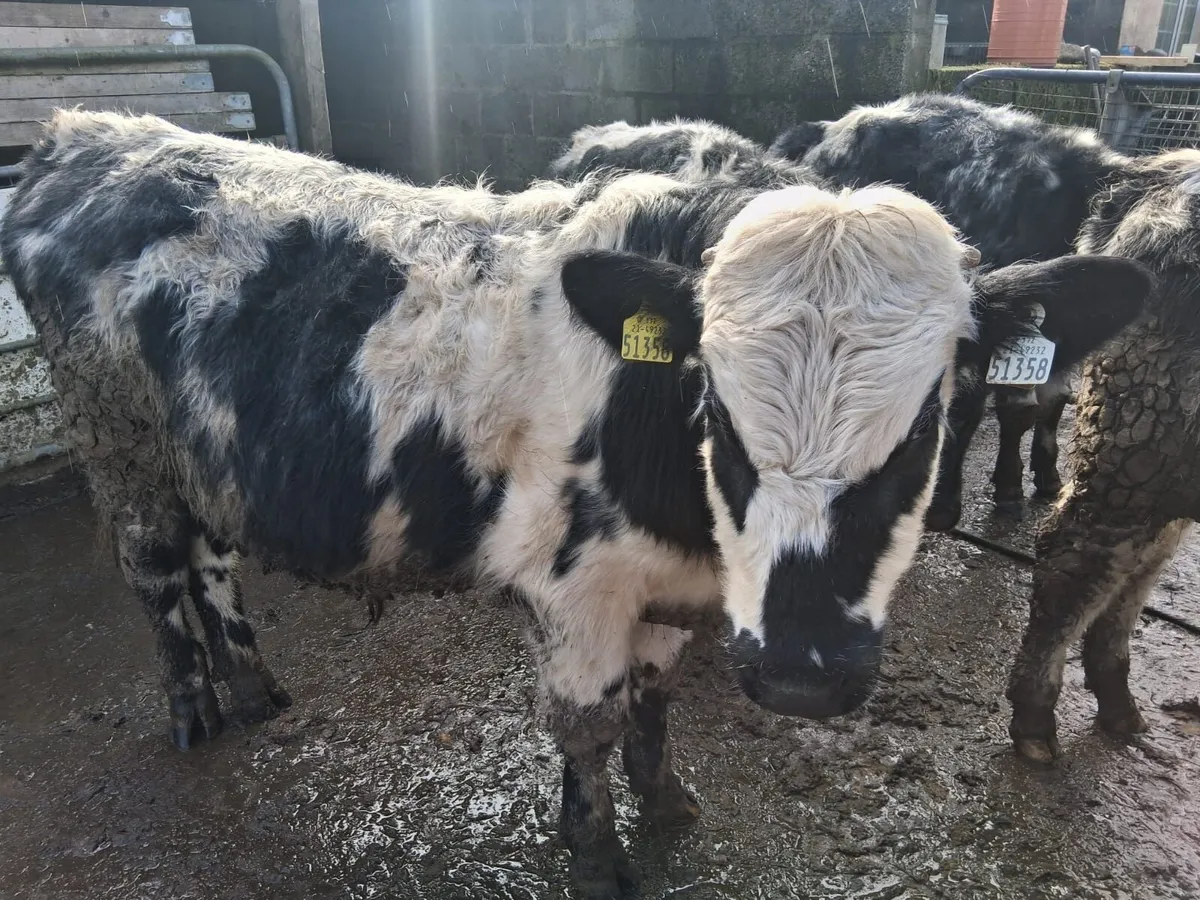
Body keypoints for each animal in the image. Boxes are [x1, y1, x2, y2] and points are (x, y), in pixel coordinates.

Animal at [0, 110, 1151, 897]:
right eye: (715, 405)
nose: (803, 672)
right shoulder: (576, 590)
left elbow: (652, 704)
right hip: (119, 449)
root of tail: (94, 133)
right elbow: (589, 722)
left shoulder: (666, 595)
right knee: (156, 575)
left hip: (195, 457)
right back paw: (195, 709)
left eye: (924, 423)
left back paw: (252, 684)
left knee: (210, 561)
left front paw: (668, 801)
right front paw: (595, 848)